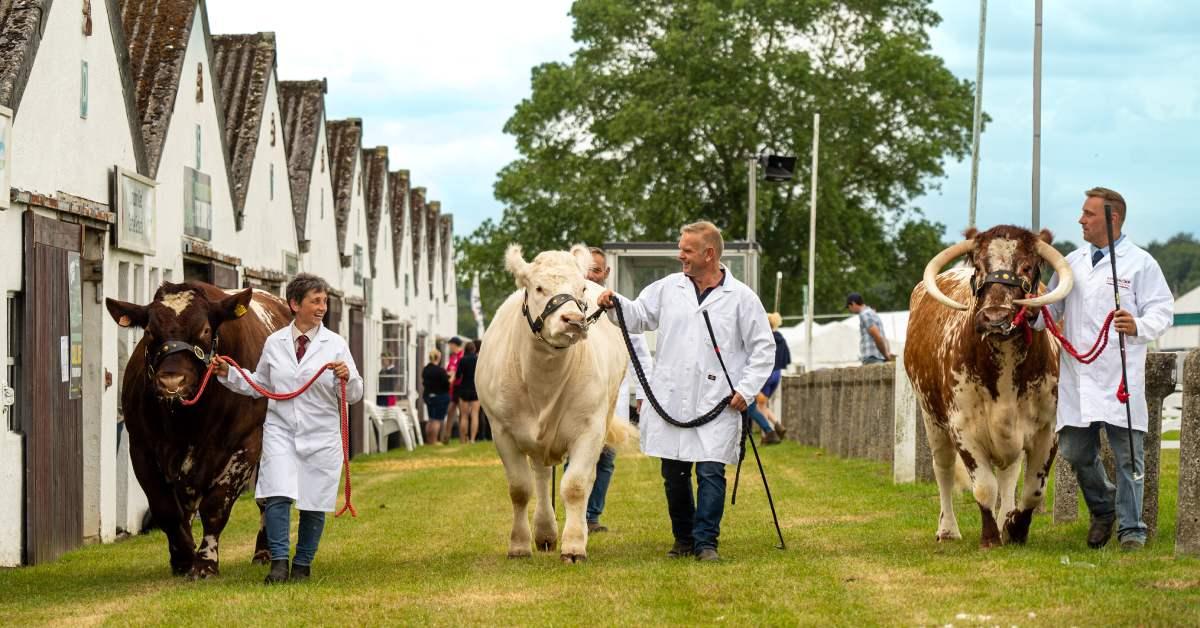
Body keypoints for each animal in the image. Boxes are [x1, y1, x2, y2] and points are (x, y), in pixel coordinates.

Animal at [106, 282, 291, 578]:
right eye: (149, 331)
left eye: (204, 329)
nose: (172, 381)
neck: (187, 422)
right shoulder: (141, 449)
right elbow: (166, 508)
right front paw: (183, 557)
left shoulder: (246, 445)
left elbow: (215, 506)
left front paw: (204, 563)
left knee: (267, 500)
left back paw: (264, 553)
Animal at [475, 243, 633, 561]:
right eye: (538, 288)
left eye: (581, 288)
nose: (573, 320)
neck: (543, 380)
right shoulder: (501, 431)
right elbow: (520, 488)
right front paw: (519, 544)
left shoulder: (590, 428)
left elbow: (575, 485)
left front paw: (573, 546)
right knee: (540, 474)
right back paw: (545, 531)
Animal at [902, 224, 1075, 545]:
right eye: (979, 267)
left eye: (1027, 266)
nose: (996, 318)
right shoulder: (963, 429)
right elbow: (983, 487)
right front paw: (990, 535)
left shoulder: (1047, 431)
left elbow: (1032, 491)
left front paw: (1015, 527)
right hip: (931, 418)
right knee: (943, 469)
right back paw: (948, 529)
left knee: (1008, 474)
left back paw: (1004, 515)